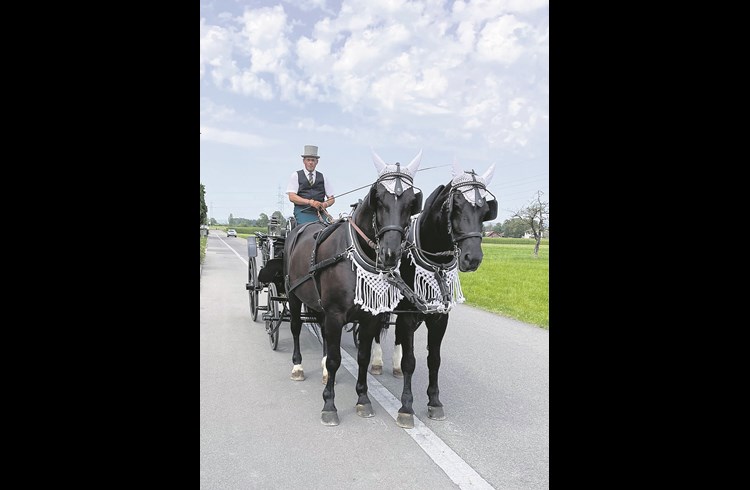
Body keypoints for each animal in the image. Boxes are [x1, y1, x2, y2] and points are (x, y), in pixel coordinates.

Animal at [284, 150, 424, 424]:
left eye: (411, 201)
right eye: (378, 198)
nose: (390, 253)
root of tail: (300, 229)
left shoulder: (369, 317)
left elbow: (362, 358)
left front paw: (363, 399)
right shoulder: (336, 314)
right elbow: (336, 359)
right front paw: (329, 404)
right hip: (294, 295)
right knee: (295, 328)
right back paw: (297, 366)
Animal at [368, 162, 496, 428]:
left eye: (485, 210)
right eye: (456, 206)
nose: (472, 258)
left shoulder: (438, 317)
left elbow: (433, 360)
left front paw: (435, 402)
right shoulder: (408, 315)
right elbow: (411, 361)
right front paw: (406, 407)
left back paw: (393, 365)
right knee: (377, 329)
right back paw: (376, 362)